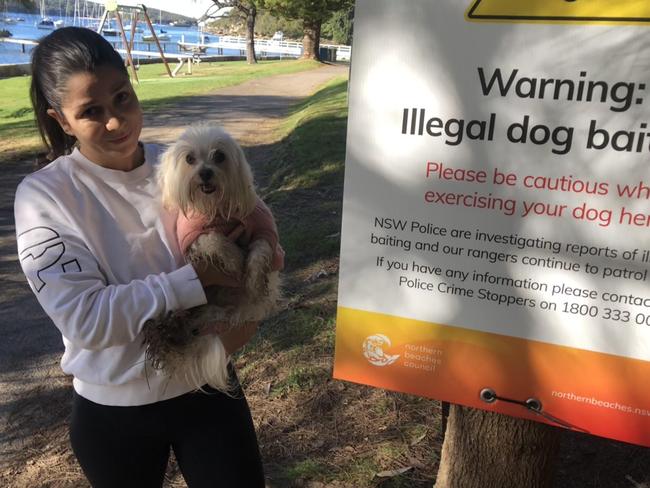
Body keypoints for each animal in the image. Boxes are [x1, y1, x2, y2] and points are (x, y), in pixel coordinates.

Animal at [142, 125, 280, 392]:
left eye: (219, 156)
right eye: (189, 159)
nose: (205, 172)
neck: (214, 208)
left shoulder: (263, 229)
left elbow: (259, 252)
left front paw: (253, 280)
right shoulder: (192, 236)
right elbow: (214, 239)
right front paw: (235, 261)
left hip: (216, 314)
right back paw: (166, 332)